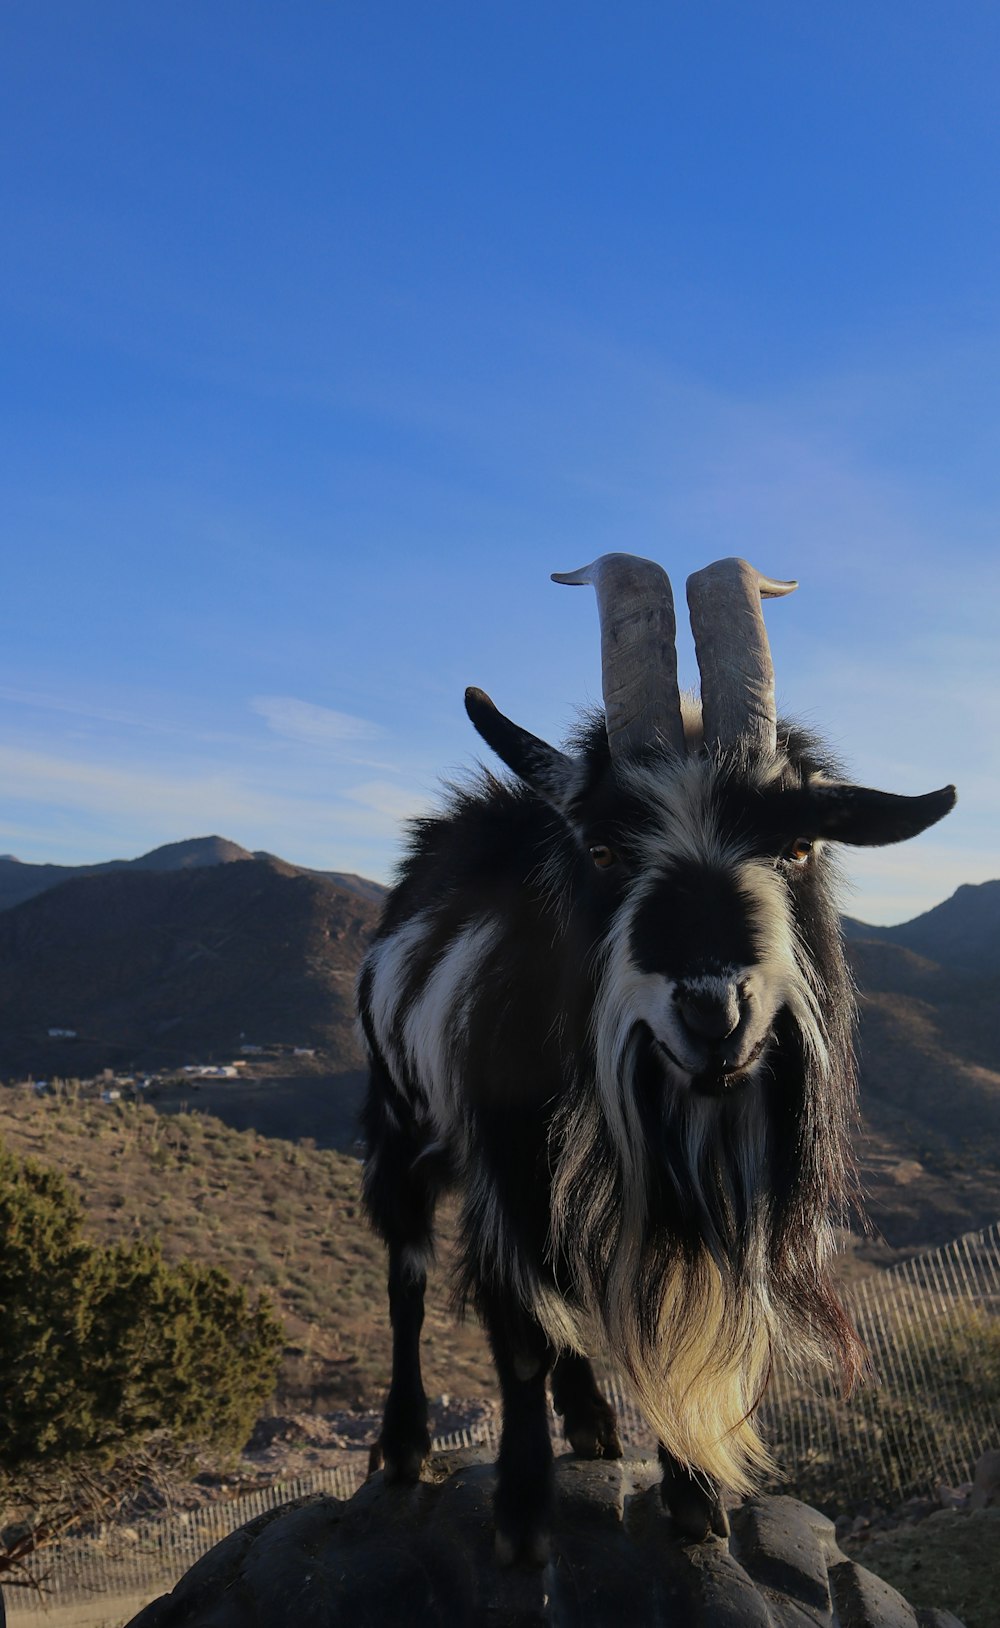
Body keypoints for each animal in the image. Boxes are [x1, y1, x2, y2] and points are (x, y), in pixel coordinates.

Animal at [358, 553, 957, 1556]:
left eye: (799, 845)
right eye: (601, 849)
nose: (714, 1010)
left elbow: (671, 1315)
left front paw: (693, 1496)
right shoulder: (506, 1166)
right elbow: (517, 1332)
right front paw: (522, 1515)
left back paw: (594, 1420)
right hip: (400, 1120)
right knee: (410, 1272)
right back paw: (404, 1447)